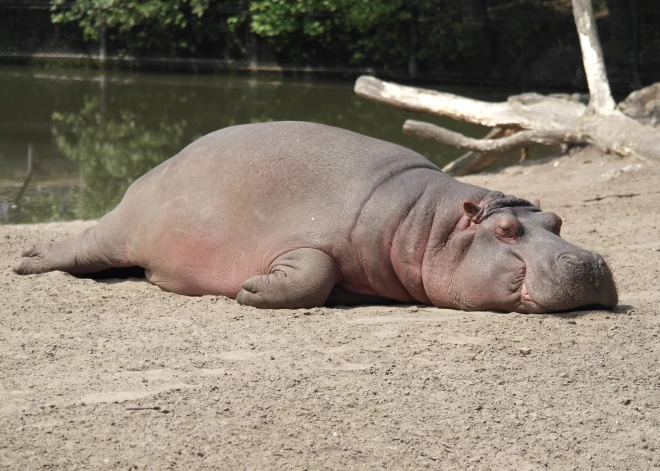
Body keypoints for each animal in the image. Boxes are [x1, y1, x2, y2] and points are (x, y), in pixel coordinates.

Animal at [11, 121, 620, 314]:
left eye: (558, 220)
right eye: (505, 230)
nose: (590, 262)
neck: (427, 224)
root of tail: (150, 172)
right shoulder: (305, 241)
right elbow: (312, 272)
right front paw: (251, 289)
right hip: (119, 233)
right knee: (79, 249)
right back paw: (26, 260)